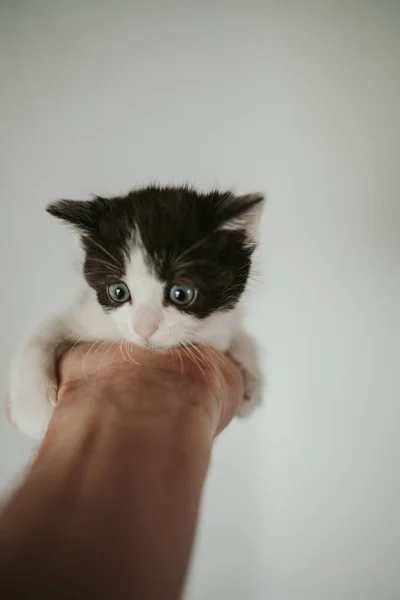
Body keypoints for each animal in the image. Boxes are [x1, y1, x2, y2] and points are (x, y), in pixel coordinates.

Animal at [7, 185, 264, 438]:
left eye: (181, 293)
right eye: (118, 292)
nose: (144, 329)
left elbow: (240, 335)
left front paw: (252, 377)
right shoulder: (85, 316)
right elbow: (43, 334)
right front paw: (31, 408)